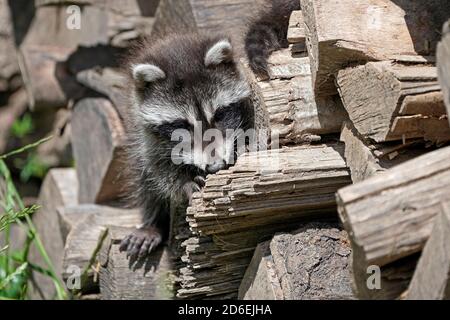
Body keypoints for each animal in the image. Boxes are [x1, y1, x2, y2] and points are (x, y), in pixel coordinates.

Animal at [118, 33, 255, 258]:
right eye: (182, 126)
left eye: (219, 115)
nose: (215, 166)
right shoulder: (144, 132)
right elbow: (155, 166)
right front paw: (182, 182)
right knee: (143, 178)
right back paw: (153, 221)